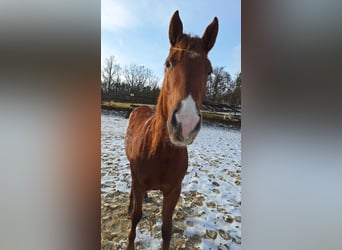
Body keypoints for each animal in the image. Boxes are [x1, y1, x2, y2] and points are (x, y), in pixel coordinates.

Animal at [124, 10, 218, 250]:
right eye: (168, 63)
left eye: (209, 70)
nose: (185, 123)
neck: (160, 152)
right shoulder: (139, 181)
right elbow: (136, 217)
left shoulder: (174, 190)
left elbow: (167, 229)